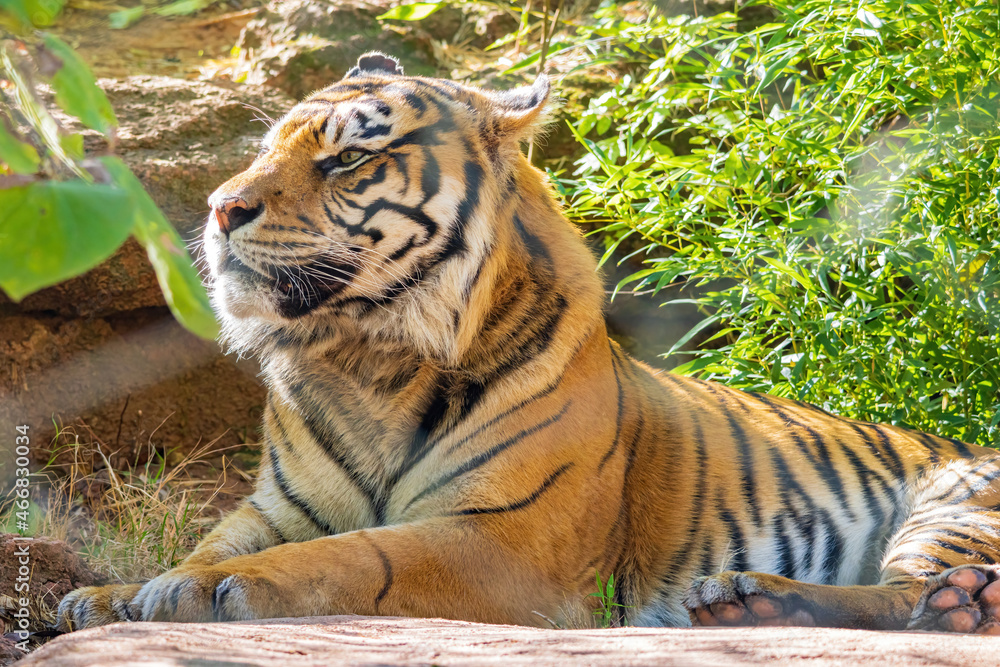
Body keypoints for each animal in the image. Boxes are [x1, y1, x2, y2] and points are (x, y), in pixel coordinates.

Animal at [57, 52, 1000, 635]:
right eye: (264, 149)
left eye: (347, 161)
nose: (222, 209)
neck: (362, 359)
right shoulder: (274, 508)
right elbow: (207, 544)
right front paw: (108, 593)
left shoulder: (506, 538)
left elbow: (355, 552)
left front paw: (215, 591)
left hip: (952, 501)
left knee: (912, 597)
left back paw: (787, 601)